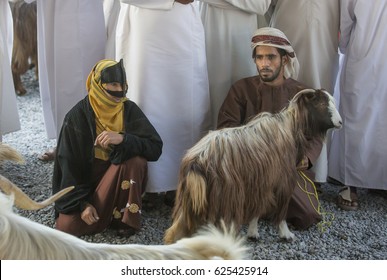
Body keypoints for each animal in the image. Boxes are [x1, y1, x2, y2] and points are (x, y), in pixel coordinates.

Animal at [164, 88, 342, 244]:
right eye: (321, 103)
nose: (340, 122)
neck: (291, 128)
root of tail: (196, 162)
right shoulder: (281, 180)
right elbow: (279, 209)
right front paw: (286, 234)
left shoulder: (259, 182)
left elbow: (258, 207)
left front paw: (253, 233)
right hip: (222, 198)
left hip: (189, 199)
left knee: (176, 230)